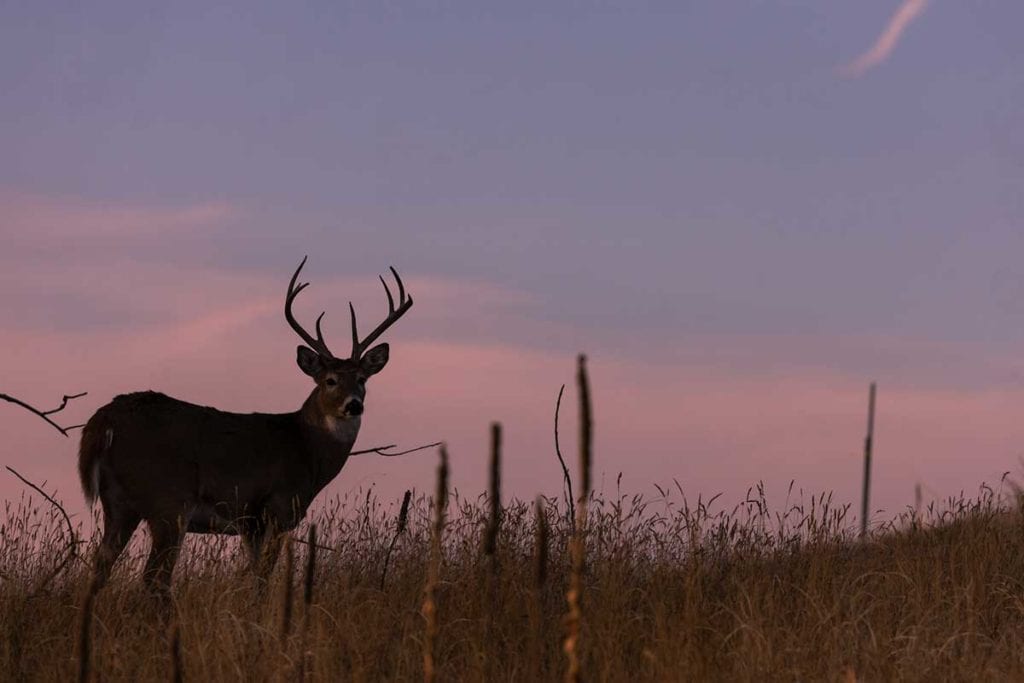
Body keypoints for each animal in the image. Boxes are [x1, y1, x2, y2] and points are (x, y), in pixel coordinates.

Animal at [76, 259, 411, 593]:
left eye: (362, 379)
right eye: (330, 380)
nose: (353, 404)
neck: (307, 449)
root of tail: (104, 419)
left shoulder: (251, 525)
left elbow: (255, 575)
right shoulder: (277, 507)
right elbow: (263, 578)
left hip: (118, 504)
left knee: (101, 567)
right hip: (168, 500)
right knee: (153, 577)